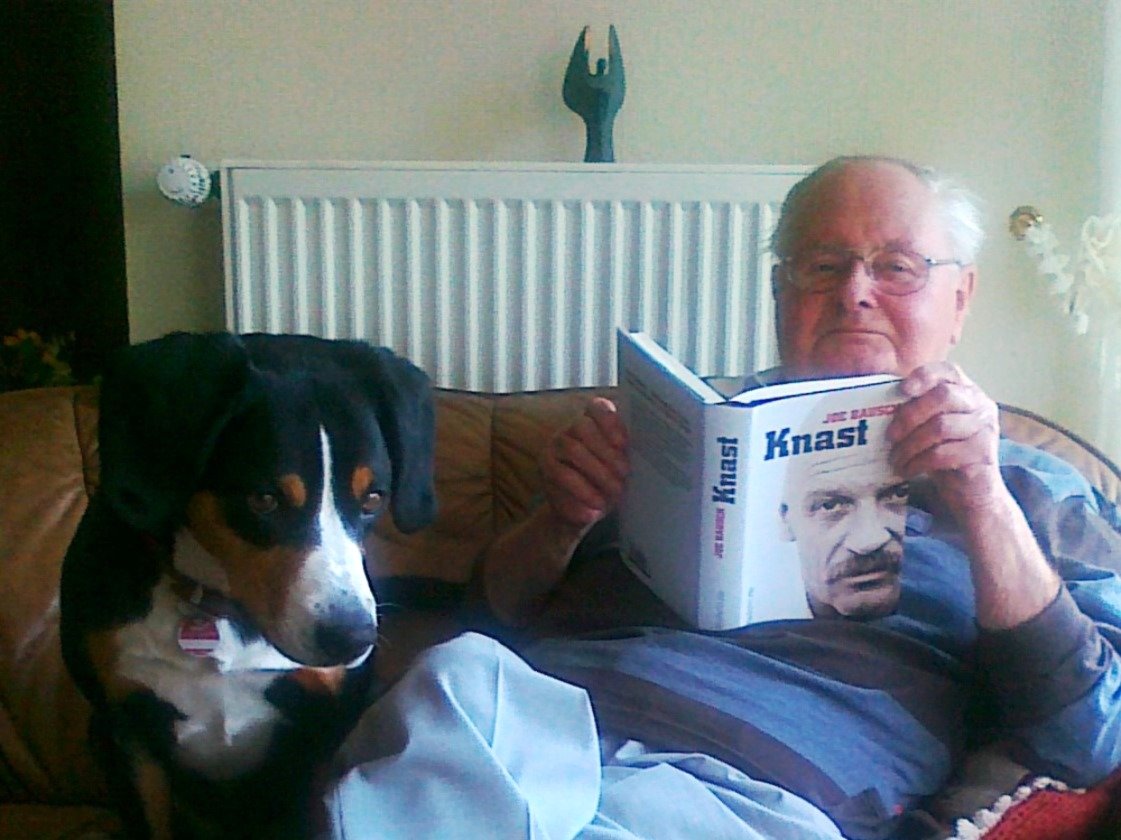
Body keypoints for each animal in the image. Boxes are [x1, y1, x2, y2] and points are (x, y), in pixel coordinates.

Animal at [59, 332, 436, 839]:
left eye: (373, 498)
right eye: (264, 499)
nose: (352, 636)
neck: (220, 609)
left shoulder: (321, 733)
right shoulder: (127, 730)